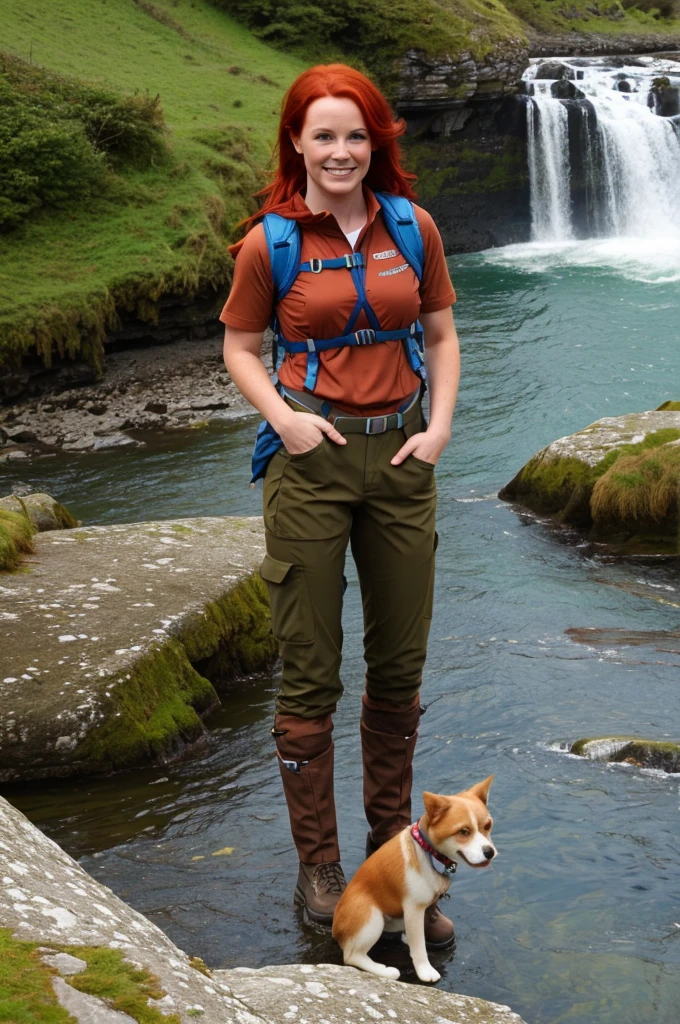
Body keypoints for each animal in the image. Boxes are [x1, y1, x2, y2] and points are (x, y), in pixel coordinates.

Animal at [333, 774, 497, 983]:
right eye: (463, 831)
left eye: (487, 826)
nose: (489, 852)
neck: (427, 851)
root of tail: (335, 929)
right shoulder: (413, 909)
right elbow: (419, 947)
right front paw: (424, 970)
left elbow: (419, 932)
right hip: (371, 917)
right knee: (351, 956)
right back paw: (385, 971)